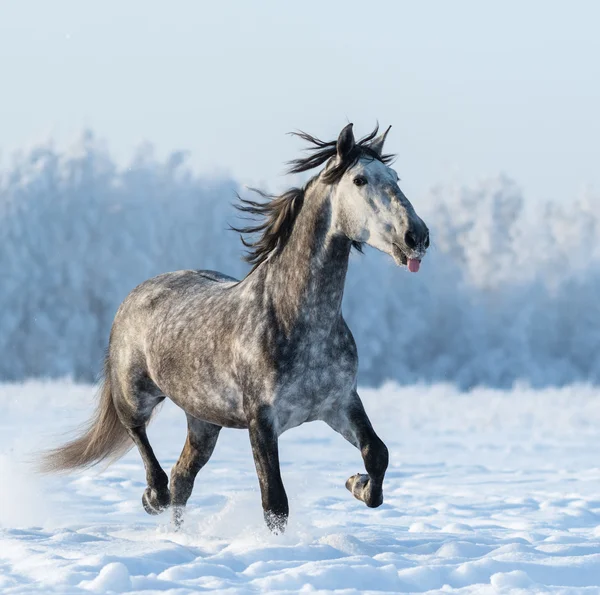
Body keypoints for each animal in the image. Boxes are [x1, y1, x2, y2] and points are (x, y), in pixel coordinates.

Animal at [42, 123, 432, 532]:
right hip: (135, 393)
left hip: (203, 420)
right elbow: (274, 502)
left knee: (183, 478)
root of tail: (135, 294)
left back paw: (176, 533)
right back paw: (153, 496)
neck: (299, 322)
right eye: (359, 180)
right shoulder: (261, 420)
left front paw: (356, 483)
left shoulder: (339, 403)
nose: (417, 237)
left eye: (396, 178)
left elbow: (377, 453)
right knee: (140, 436)